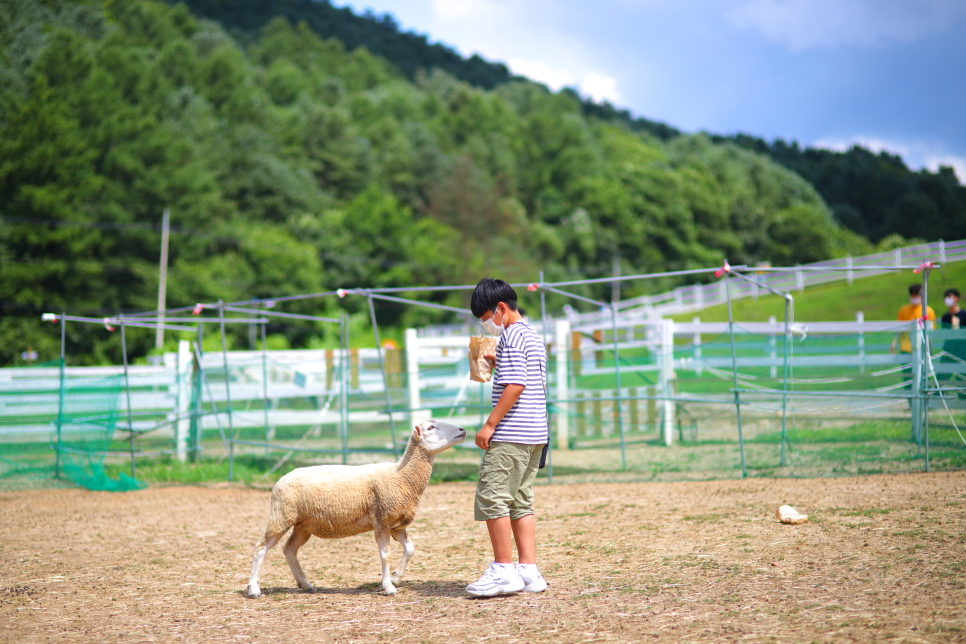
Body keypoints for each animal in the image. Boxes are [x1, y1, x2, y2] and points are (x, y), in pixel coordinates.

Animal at [246, 420, 466, 596]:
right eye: (431, 427)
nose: (463, 430)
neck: (401, 476)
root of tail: (280, 480)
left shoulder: (395, 524)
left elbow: (410, 548)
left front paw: (396, 577)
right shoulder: (381, 520)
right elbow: (385, 555)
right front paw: (389, 587)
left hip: (303, 524)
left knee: (289, 549)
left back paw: (305, 584)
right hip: (281, 516)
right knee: (261, 548)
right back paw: (254, 589)